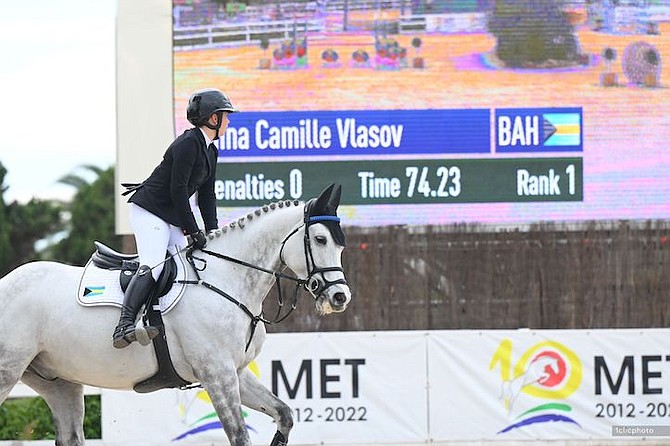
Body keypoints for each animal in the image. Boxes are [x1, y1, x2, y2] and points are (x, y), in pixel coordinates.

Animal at [0, 183, 352, 444]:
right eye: (320, 239)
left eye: (340, 245)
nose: (340, 297)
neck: (227, 277)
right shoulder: (217, 375)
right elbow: (239, 437)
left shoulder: (235, 372)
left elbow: (284, 415)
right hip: (8, 373)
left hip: (60, 383)